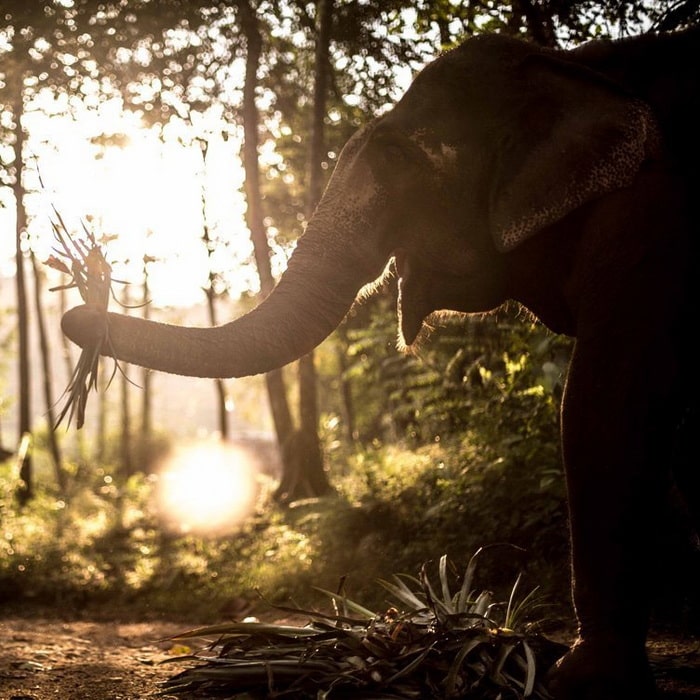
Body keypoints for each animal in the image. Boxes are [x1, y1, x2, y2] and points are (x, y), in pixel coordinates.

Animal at [63, 26, 696, 700]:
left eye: (398, 158)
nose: (85, 303)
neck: (577, 67)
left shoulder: (651, 220)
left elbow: (605, 401)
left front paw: (572, 678)